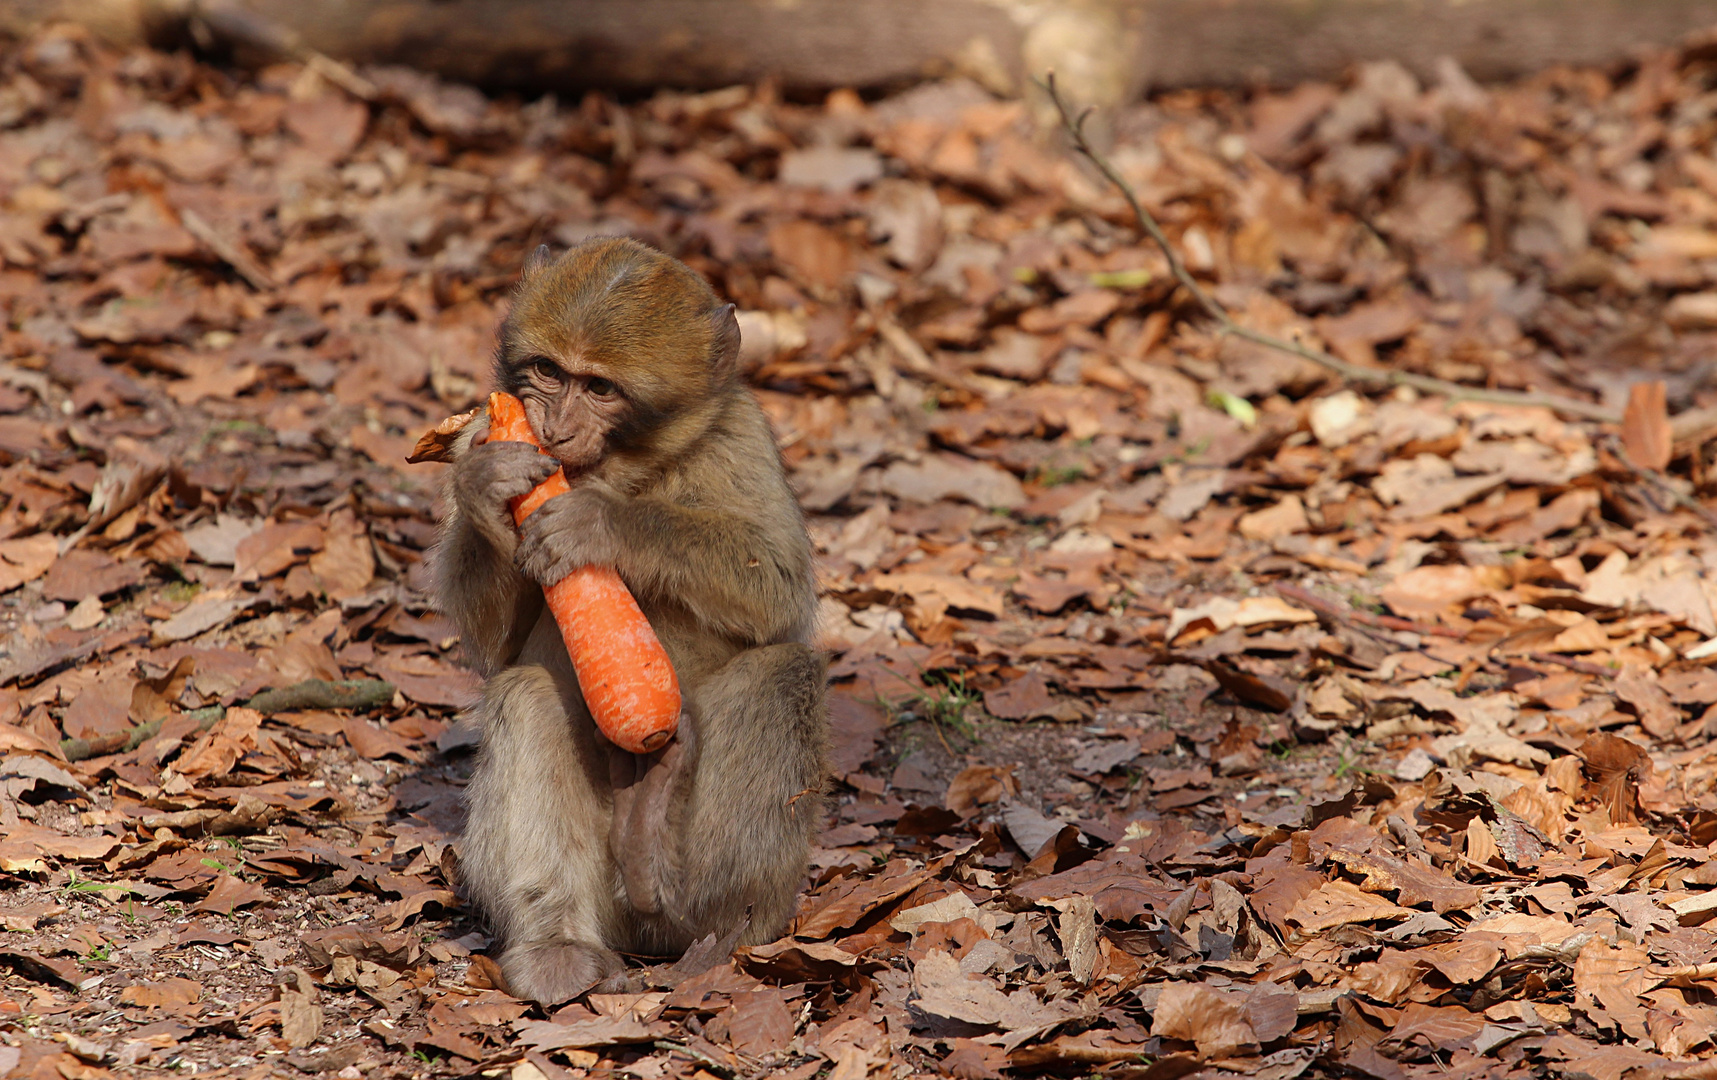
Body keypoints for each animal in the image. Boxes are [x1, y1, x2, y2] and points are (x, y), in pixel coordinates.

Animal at [432, 235, 827, 1002]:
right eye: (548, 372)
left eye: (600, 389)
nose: (553, 428)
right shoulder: (475, 439)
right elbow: (497, 650)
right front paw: (488, 488)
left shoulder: (738, 439)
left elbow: (779, 591)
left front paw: (604, 523)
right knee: (525, 695)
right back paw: (559, 944)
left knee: (782, 671)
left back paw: (698, 902)